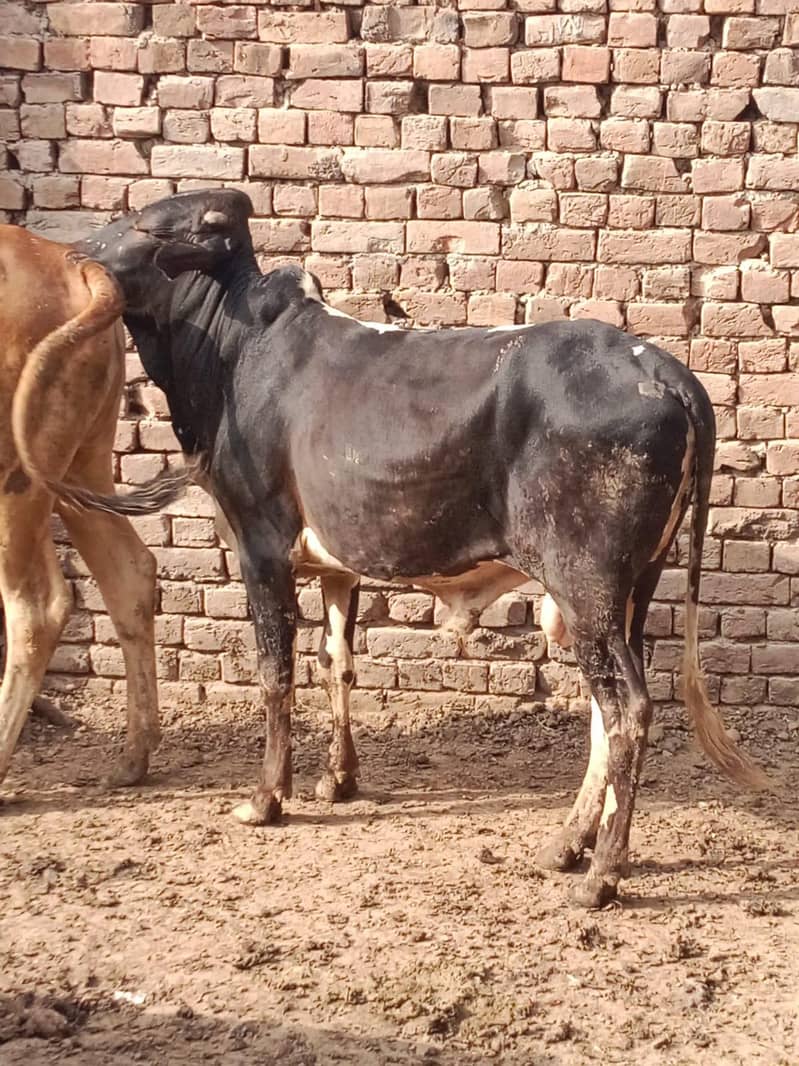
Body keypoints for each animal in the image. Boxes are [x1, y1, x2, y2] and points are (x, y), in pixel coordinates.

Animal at [0, 225, 183, 790]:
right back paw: (132, 760)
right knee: (129, 569)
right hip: (76, 461)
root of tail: (68, 261)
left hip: (15, 477)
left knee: (37, 607)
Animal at [73, 188, 766, 907]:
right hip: (630, 588)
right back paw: (568, 846)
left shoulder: (260, 546)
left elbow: (275, 673)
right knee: (607, 714)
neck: (235, 357)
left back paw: (600, 875)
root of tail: (661, 367)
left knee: (626, 709)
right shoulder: (338, 566)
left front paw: (266, 799)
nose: (76, 251)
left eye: (145, 225)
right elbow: (337, 664)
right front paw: (338, 781)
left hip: (587, 586)